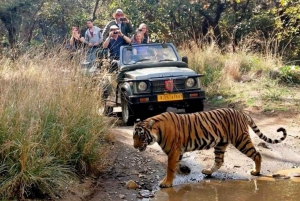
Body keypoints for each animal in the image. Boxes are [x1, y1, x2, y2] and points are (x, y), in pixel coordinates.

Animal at [132, 107, 288, 188]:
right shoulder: (177, 151)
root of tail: (241, 112)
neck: (157, 132)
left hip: (240, 140)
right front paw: (183, 170)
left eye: (141, 136)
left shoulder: (174, 151)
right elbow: (176, 164)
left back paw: (256, 172)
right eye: (133, 137)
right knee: (219, 161)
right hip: (220, 144)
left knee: (257, 154)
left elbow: (170, 168)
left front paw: (166, 183)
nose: (134, 146)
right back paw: (207, 171)